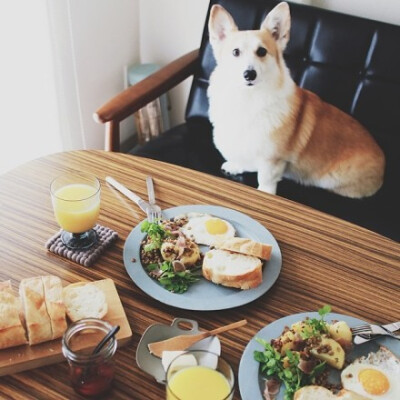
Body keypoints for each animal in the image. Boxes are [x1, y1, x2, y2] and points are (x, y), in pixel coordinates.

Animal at [206, 1, 384, 198]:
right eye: (235, 52)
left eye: (262, 51)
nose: (249, 74)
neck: (247, 98)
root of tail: (383, 163)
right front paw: (236, 166)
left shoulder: (272, 161)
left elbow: (265, 182)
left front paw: (264, 193)